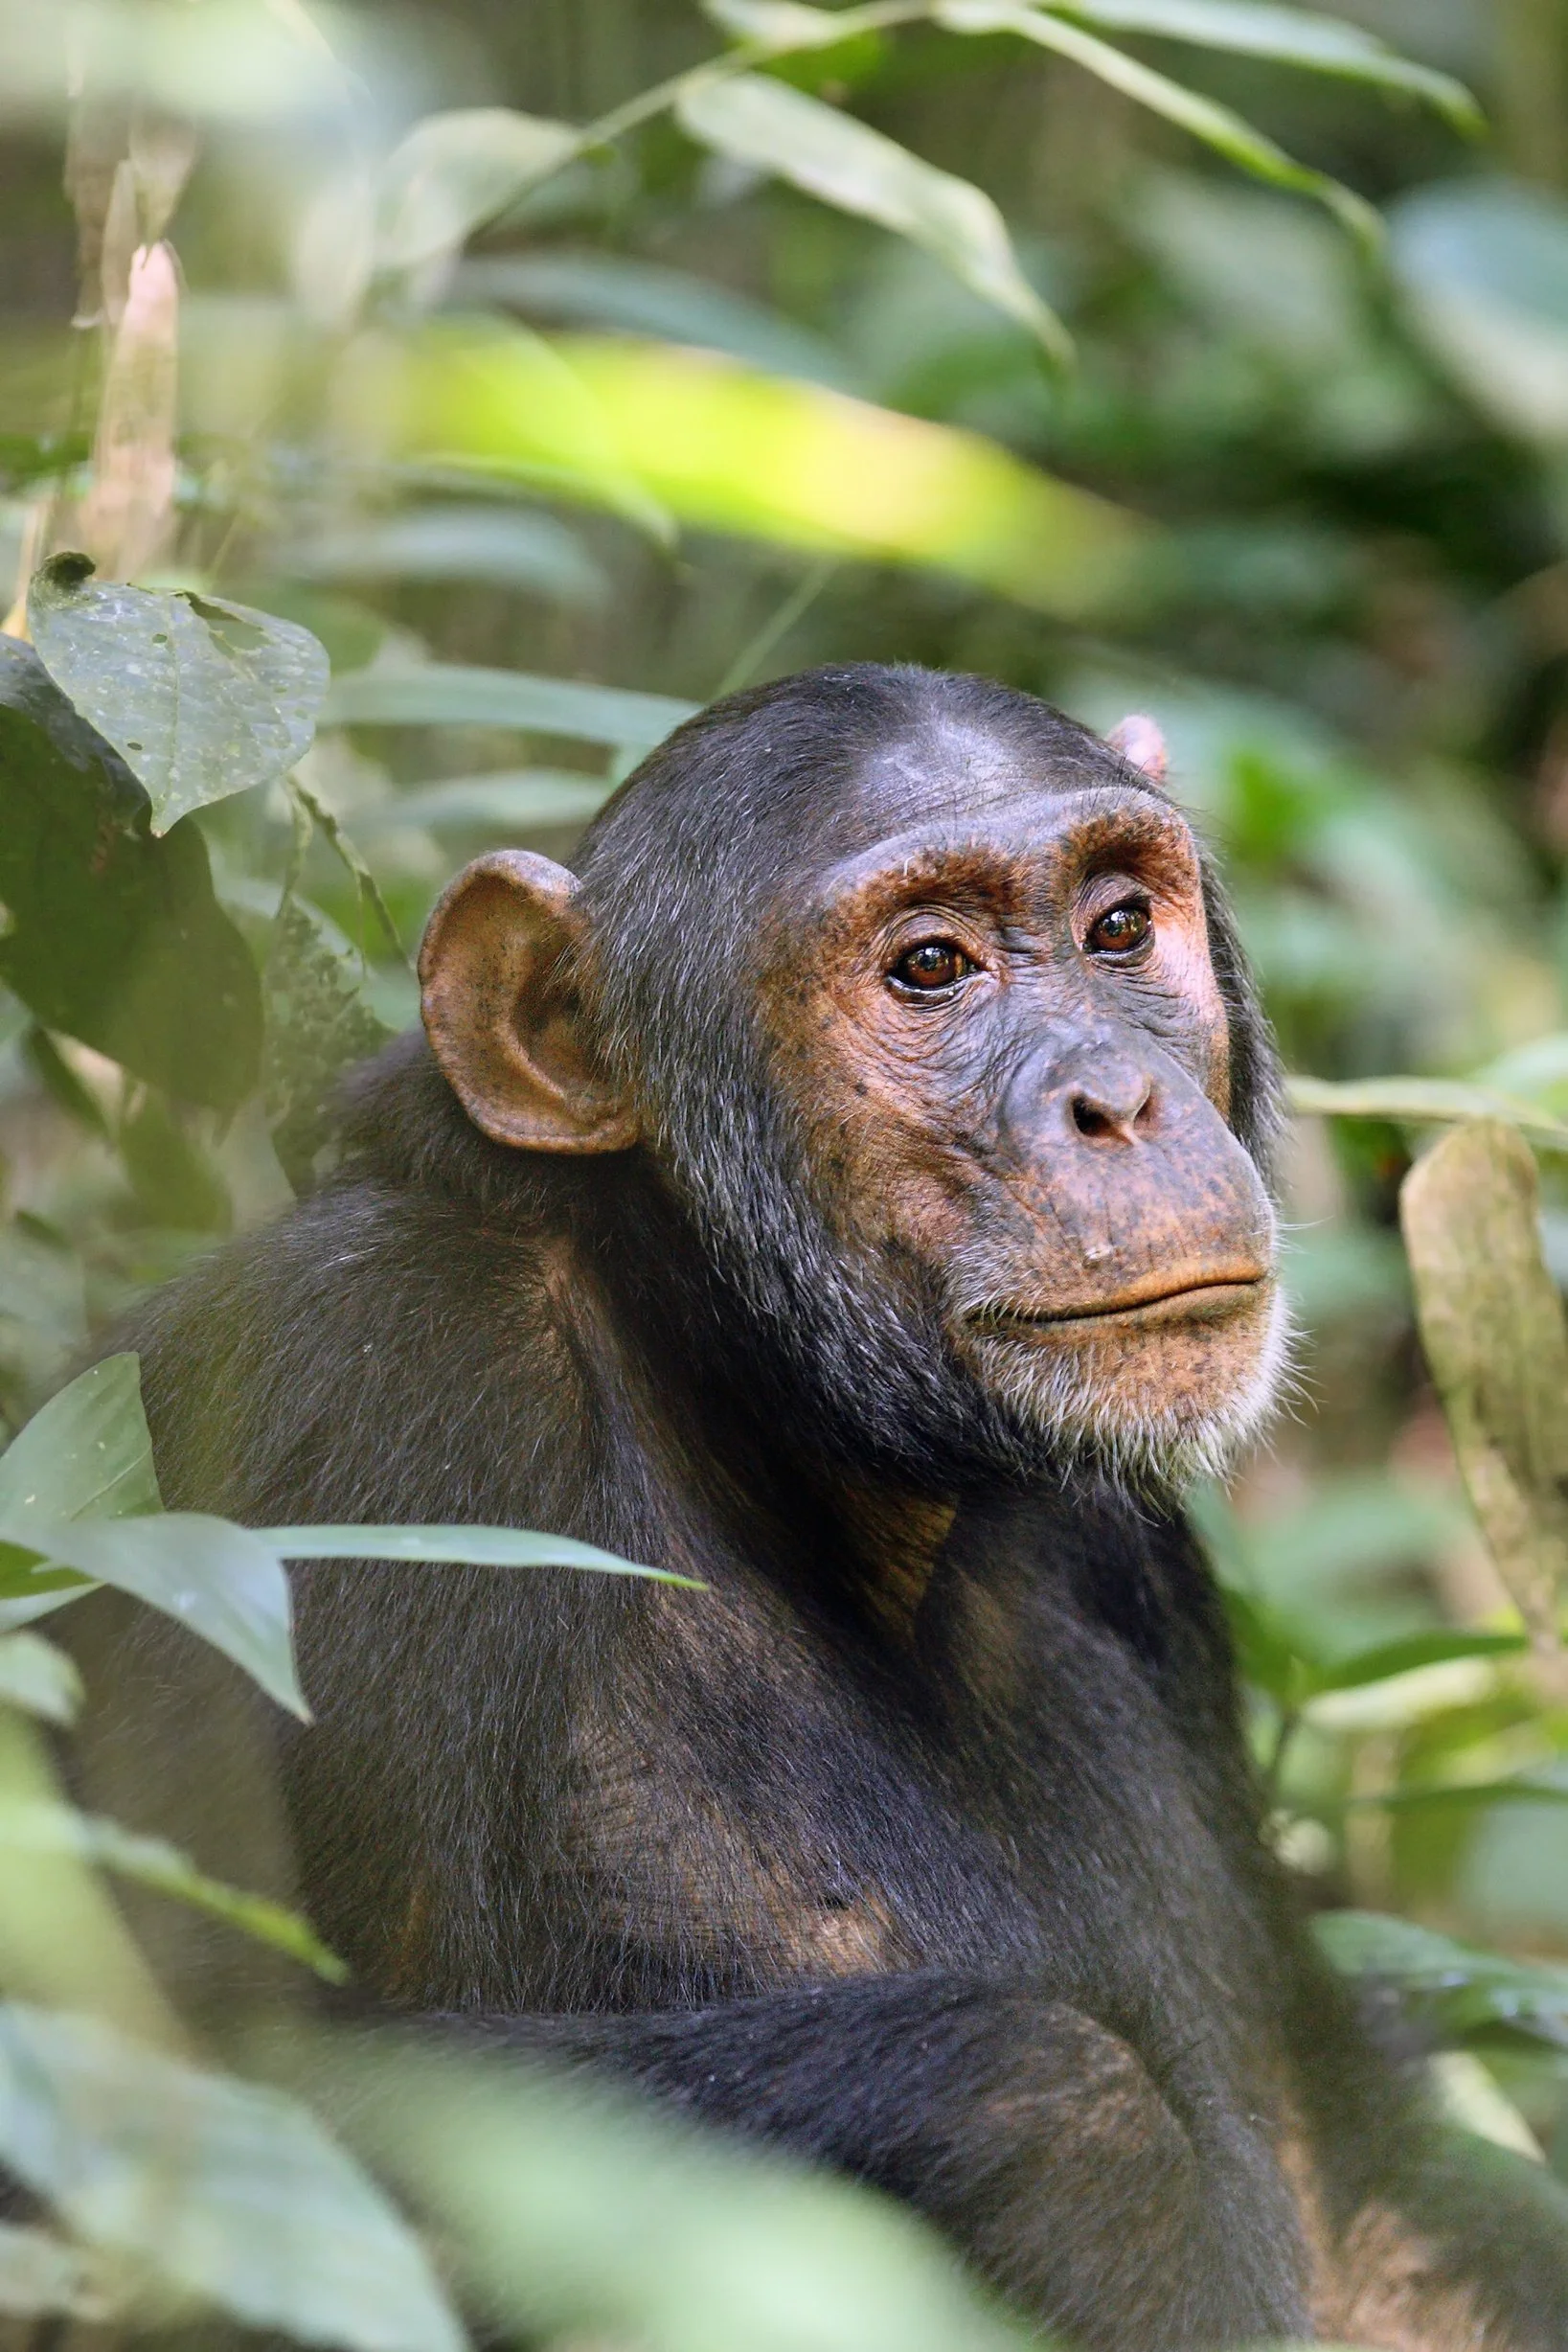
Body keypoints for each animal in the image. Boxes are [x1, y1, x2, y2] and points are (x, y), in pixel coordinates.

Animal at [73, 664, 1568, 2349]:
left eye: (1120, 927)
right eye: (929, 966)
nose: (1115, 1098)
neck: (768, 1427)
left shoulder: (1141, 1555)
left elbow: (1339, 2166)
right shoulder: (358, 1373)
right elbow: (224, 2059)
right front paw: (1092, 2160)